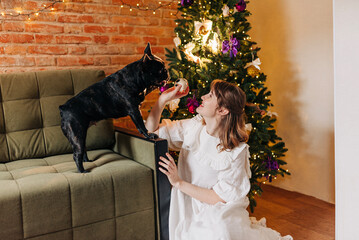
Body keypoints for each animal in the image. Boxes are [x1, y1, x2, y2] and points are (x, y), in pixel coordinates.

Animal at [59, 43, 169, 172]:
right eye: (160, 70)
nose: (167, 71)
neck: (135, 78)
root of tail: (64, 108)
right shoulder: (134, 110)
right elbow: (141, 125)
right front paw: (149, 135)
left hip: (81, 135)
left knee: (83, 149)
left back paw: (87, 161)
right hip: (77, 135)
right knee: (77, 154)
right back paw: (82, 171)